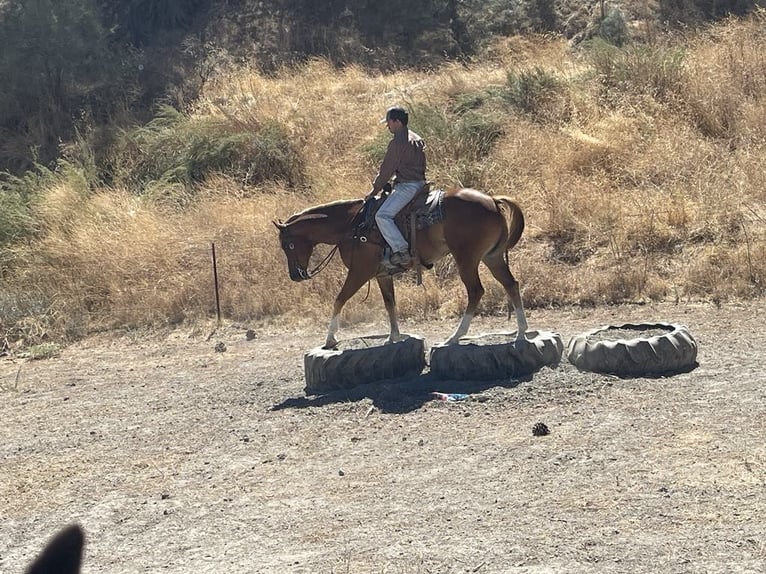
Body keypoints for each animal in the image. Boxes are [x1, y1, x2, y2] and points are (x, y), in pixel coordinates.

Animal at [273, 187, 528, 349]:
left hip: (466, 259)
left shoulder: (359, 272)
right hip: (492, 257)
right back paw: (521, 331)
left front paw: (330, 339)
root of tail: (493, 201)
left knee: (476, 291)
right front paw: (393, 337)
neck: (351, 226)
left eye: (288, 244)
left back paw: (454, 337)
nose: (295, 275)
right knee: (511, 284)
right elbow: (390, 303)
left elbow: (339, 299)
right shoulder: (382, 275)